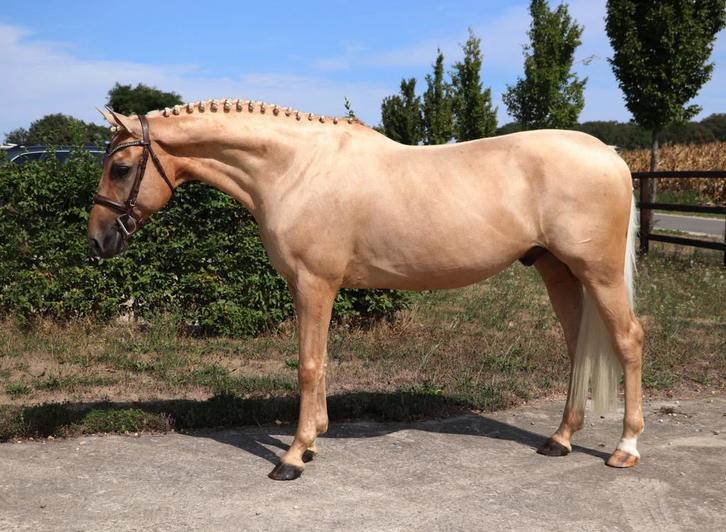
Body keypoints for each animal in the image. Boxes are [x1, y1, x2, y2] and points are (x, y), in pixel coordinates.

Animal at [88, 100, 643, 481]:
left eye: (121, 168)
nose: (97, 240)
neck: (295, 169)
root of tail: (611, 156)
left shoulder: (315, 283)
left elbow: (308, 364)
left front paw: (293, 456)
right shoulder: (313, 287)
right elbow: (321, 360)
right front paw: (315, 439)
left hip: (598, 273)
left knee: (628, 341)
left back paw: (625, 447)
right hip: (558, 271)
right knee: (577, 348)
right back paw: (561, 439)